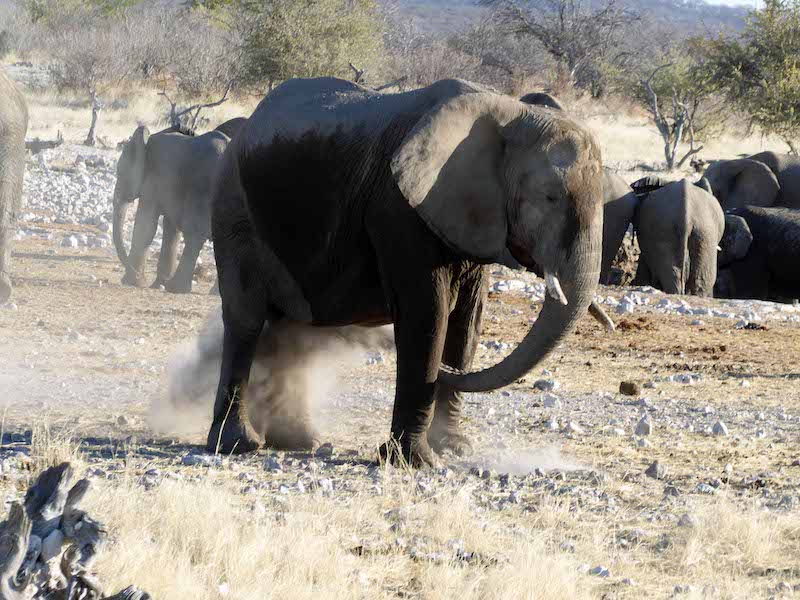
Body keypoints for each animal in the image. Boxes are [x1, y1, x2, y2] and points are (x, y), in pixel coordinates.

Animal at [112, 124, 231, 292]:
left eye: (120, 173)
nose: (135, 274)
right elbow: (170, 229)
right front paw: (155, 285)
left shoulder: (155, 179)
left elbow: (146, 225)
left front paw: (133, 282)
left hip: (205, 191)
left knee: (194, 235)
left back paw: (176, 288)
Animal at [209, 77, 604, 464]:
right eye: (550, 197)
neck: (509, 111)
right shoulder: (398, 209)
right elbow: (426, 317)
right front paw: (415, 460)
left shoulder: (476, 219)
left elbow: (466, 321)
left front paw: (454, 448)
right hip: (234, 209)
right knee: (246, 321)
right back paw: (237, 444)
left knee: (292, 328)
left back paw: (297, 440)